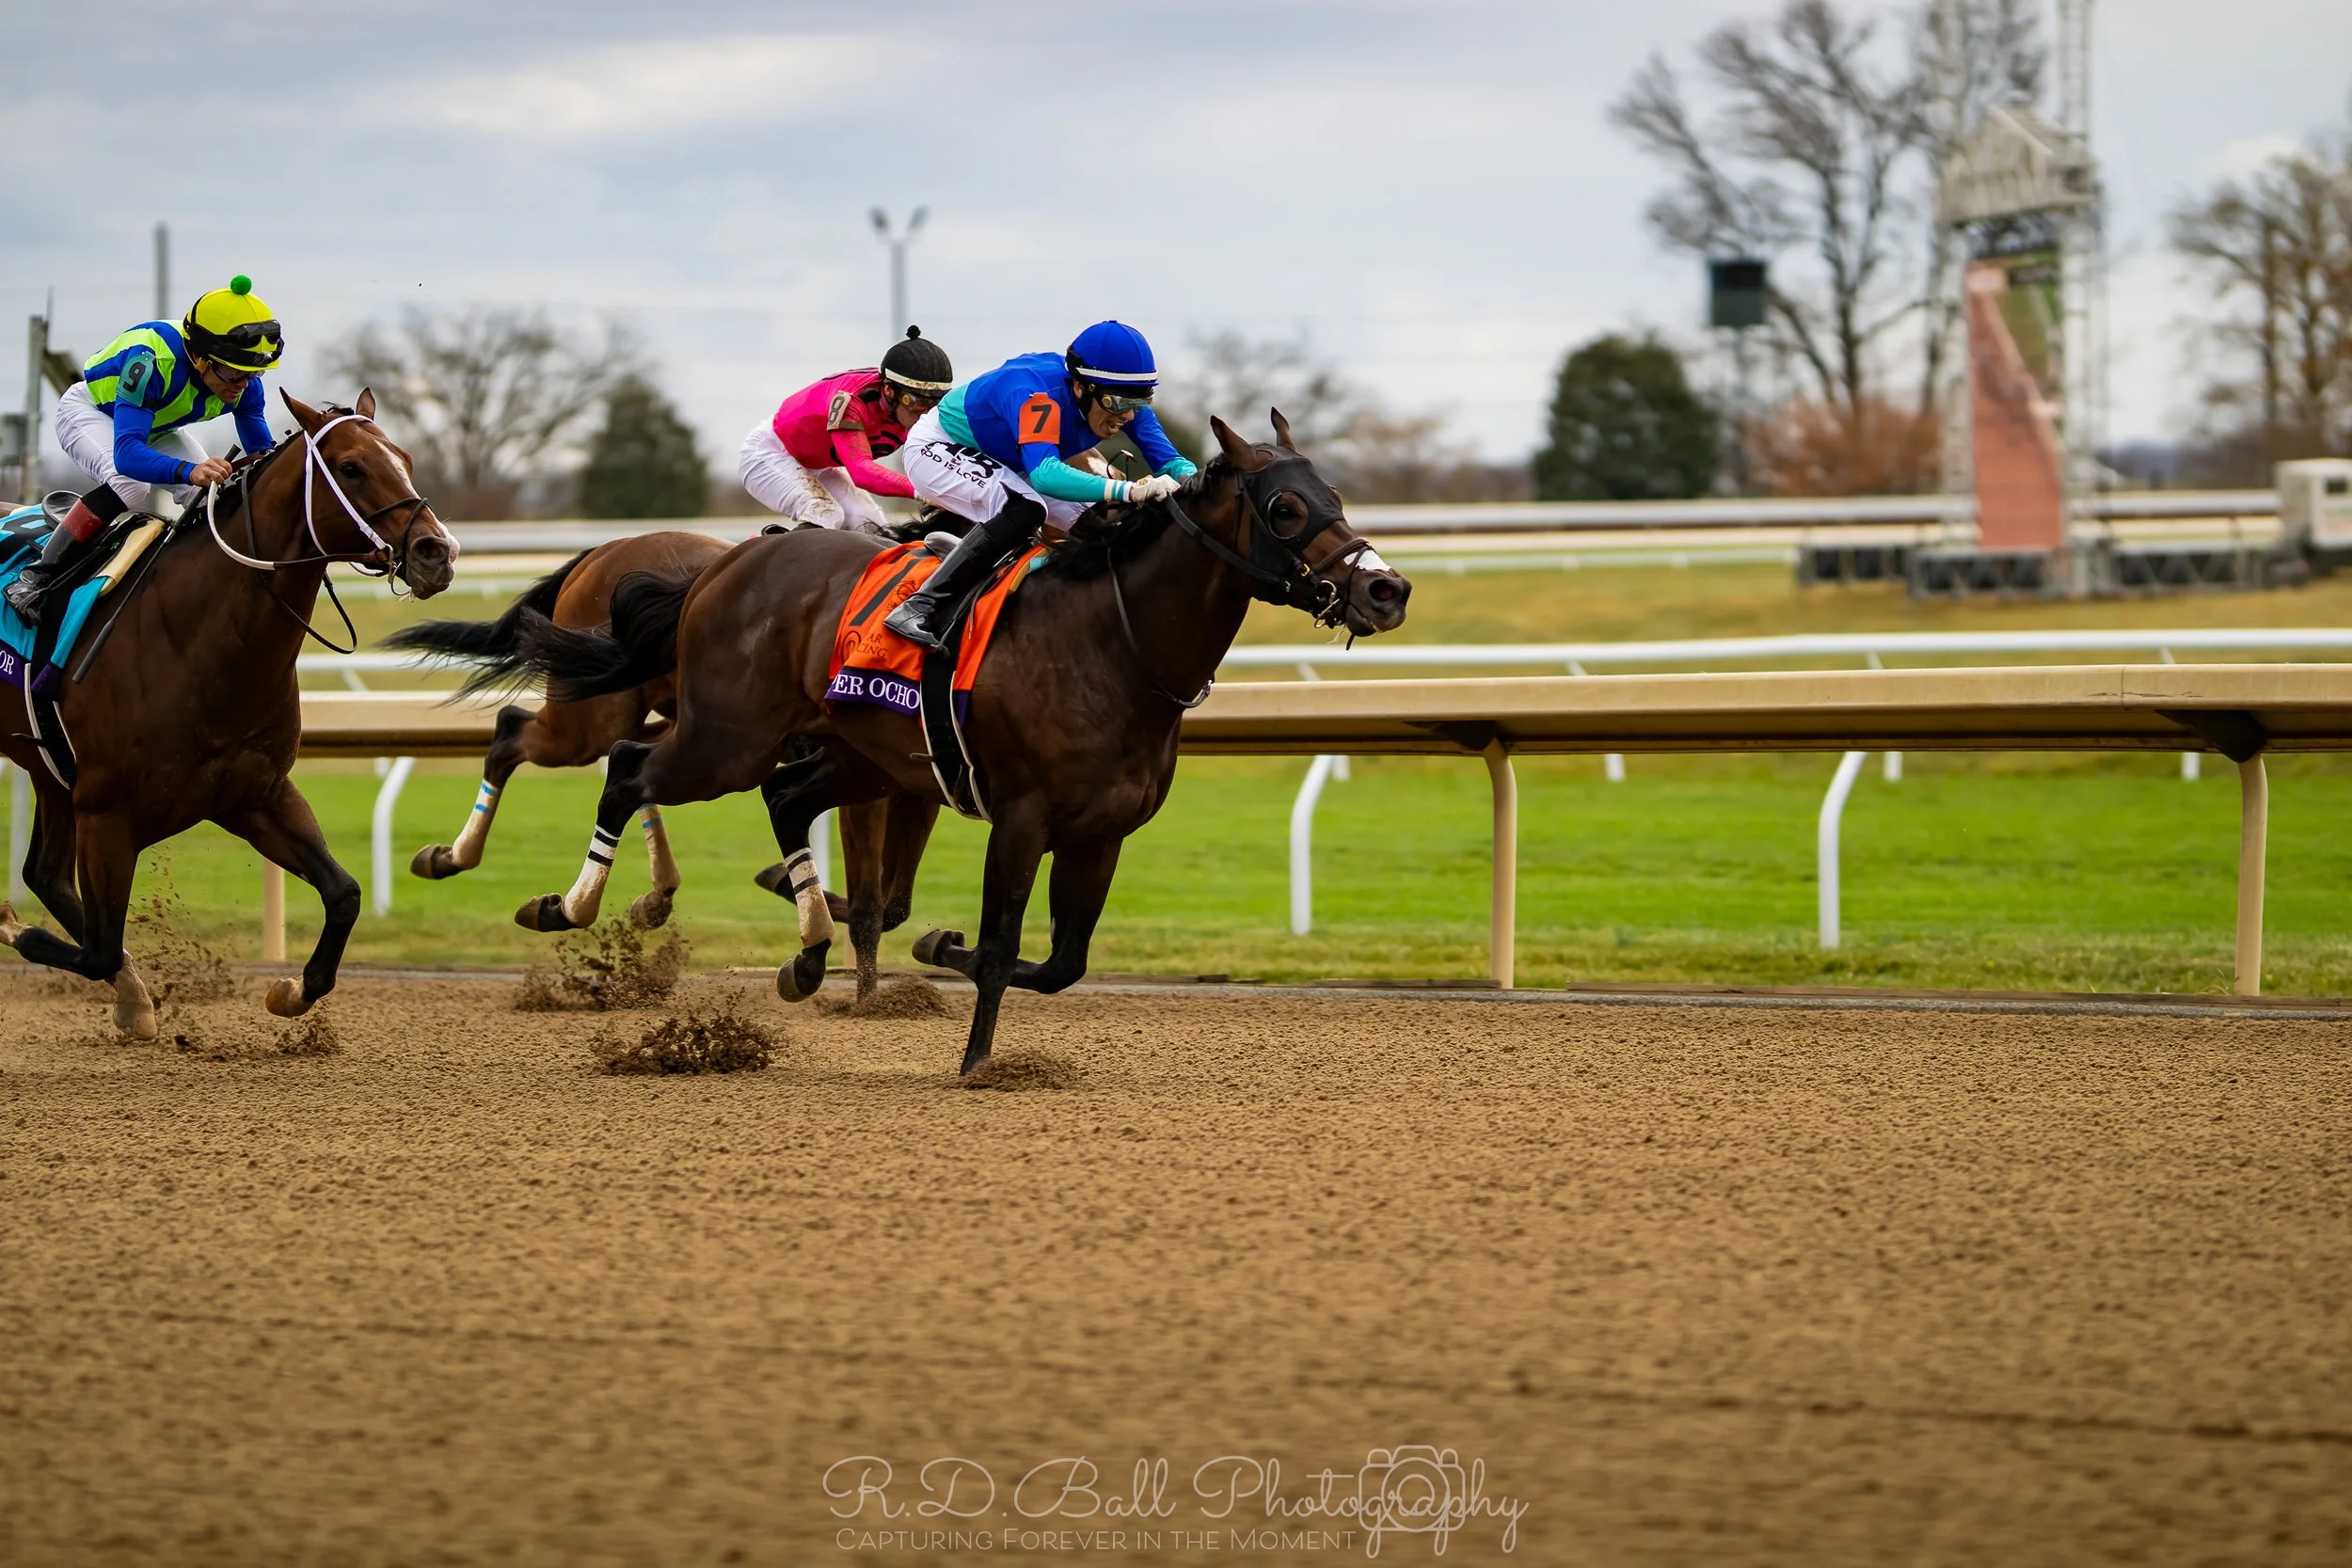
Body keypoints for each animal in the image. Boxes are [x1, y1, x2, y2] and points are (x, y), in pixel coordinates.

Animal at [0, 390, 456, 1037]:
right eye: (351, 467)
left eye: (407, 460)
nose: (437, 552)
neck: (196, 639)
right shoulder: (107, 811)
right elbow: (98, 949)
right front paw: (14, 928)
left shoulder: (253, 793)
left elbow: (343, 893)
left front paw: (292, 991)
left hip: (48, 768)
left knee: (45, 873)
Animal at [383, 531, 941, 997]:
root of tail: (603, 550)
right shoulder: (876, 778)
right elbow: (874, 906)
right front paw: (864, 994)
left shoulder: (917, 782)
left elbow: (894, 905)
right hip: (606, 722)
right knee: (515, 734)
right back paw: (453, 857)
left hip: (677, 721)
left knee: (623, 759)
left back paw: (653, 893)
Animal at [507, 413, 1408, 1072]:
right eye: (1286, 508)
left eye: (1333, 493)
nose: (1386, 588)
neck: (1112, 642)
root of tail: (719, 569)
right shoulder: (1021, 818)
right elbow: (1005, 943)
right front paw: (976, 1058)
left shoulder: (1101, 832)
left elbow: (1062, 961)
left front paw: (940, 946)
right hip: (729, 736)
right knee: (628, 768)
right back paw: (568, 904)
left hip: (854, 756)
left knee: (783, 797)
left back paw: (806, 956)